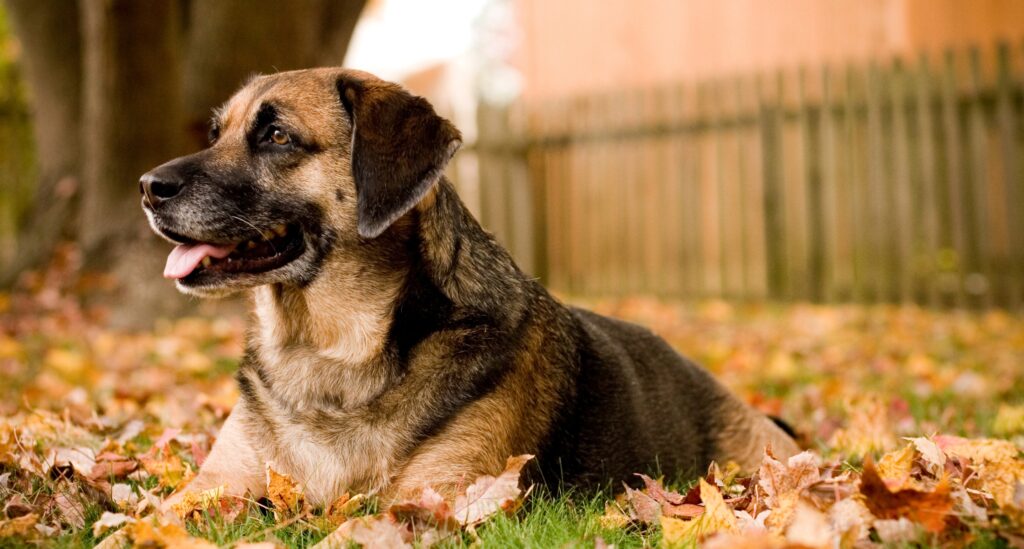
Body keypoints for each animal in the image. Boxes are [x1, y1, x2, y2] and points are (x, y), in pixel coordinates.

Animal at [138, 67, 798, 505]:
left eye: (276, 137)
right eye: (216, 133)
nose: (147, 187)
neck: (331, 355)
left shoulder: (429, 499)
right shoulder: (213, 488)